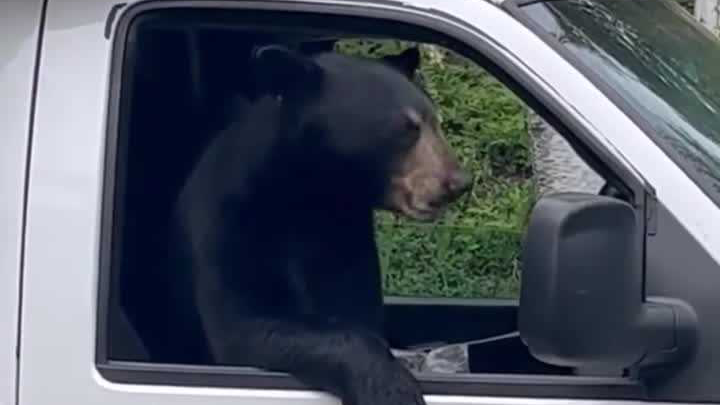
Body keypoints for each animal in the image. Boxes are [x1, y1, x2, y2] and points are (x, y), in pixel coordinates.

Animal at [169, 45, 472, 405]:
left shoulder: (344, 237)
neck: (313, 197)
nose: (458, 182)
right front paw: (391, 389)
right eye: (406, 128)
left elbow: (353, 305)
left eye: (434, 122)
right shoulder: (229, 224)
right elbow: (242, 321)